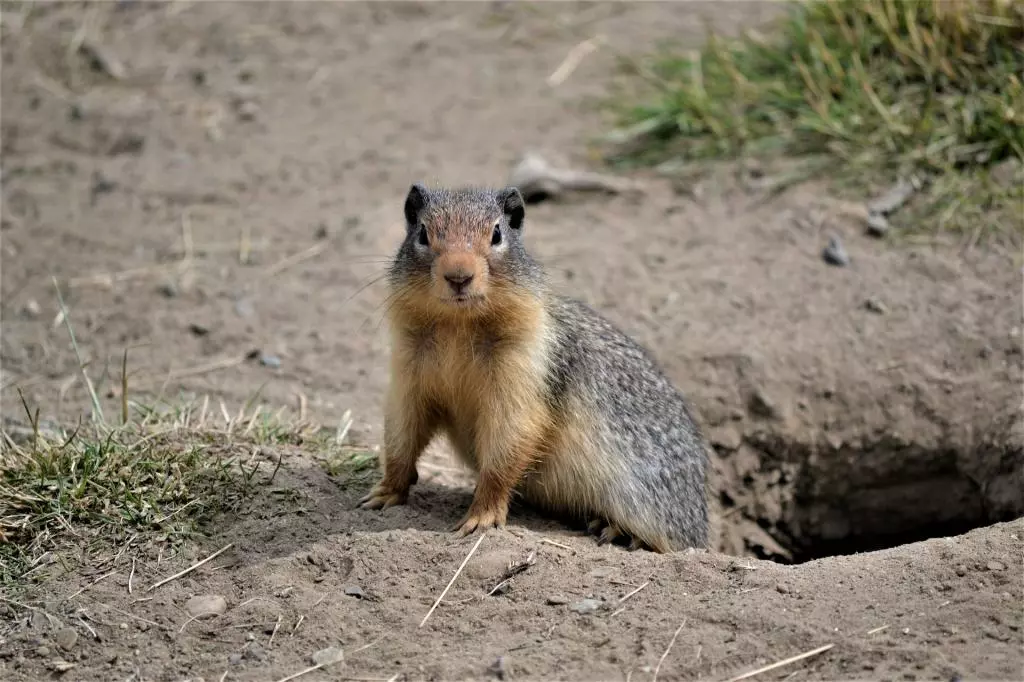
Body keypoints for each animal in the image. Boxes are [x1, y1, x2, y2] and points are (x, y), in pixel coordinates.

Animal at [362, 183, 712, 548]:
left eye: (497, 233)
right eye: (423, 232)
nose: (459, 276)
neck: (457, 326)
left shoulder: (521, 373)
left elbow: (507, 444)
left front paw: (480, 517)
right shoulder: (408, 369)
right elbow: (402, 431)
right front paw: (383, 494)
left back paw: (615, 530)